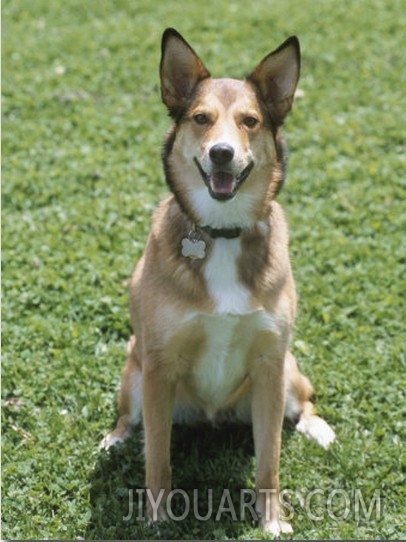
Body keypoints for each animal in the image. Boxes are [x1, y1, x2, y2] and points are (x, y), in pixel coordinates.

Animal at [102, 28, 336, 536]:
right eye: (201, 118)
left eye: (250, 121)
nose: (222, 152)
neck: (222, 232)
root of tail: (214, 417)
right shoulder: (159, 365)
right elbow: (158, 458)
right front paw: (157, 519)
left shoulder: (270, 365)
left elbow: (270, 461)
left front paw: (272, 520)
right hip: (134, 371)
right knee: (132, 420)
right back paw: (115, 438)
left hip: (288, 375)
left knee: (303, 404)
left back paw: (319, 428)